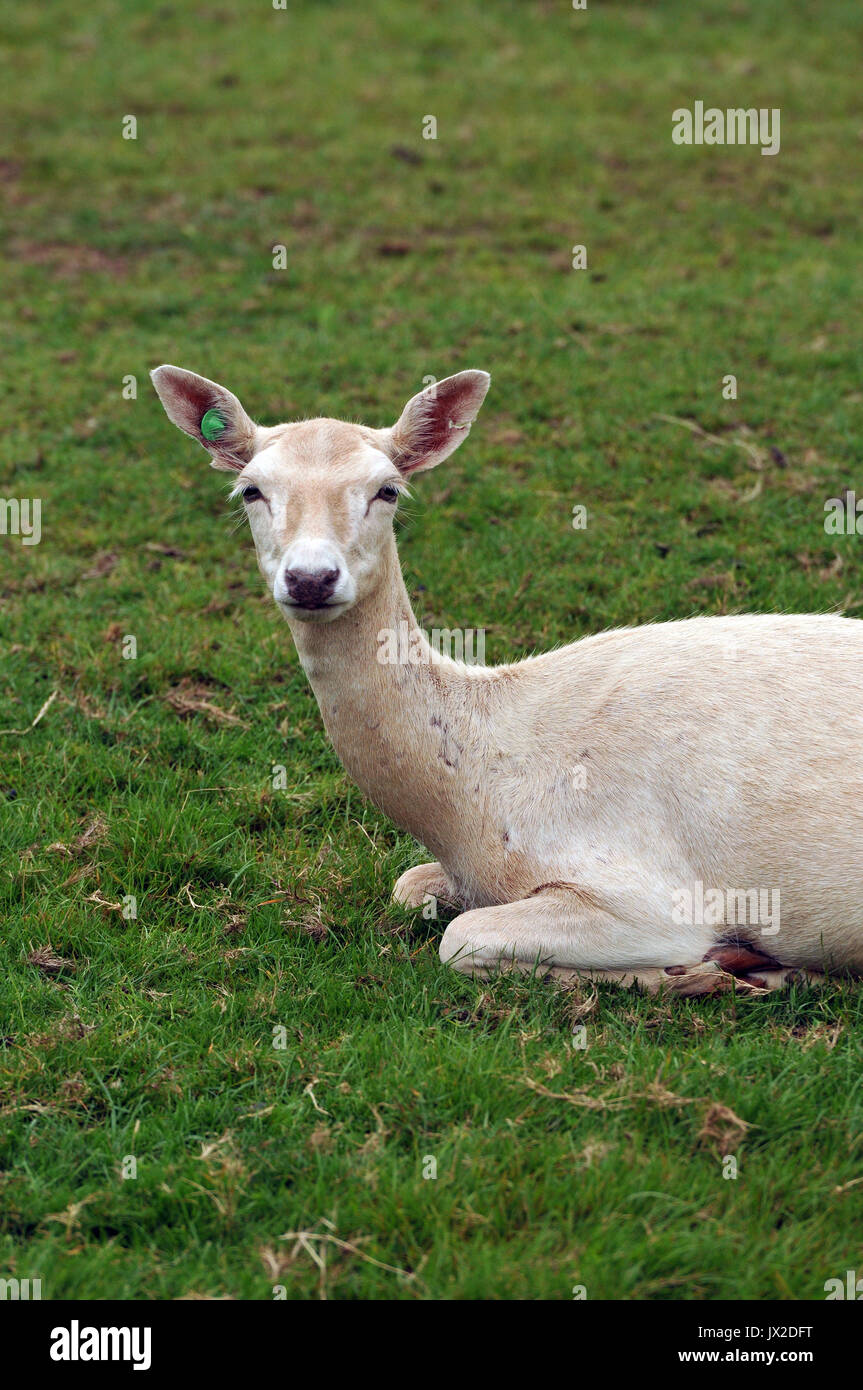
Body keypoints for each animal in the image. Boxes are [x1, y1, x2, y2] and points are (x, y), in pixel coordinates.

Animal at [150, 366, 861, 1000]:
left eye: (389, 490)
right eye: (250, 490)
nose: (311, 577)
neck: (473, 811)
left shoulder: (648, 894)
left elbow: (460, 938)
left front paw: (712, 969)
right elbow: (408, 887)